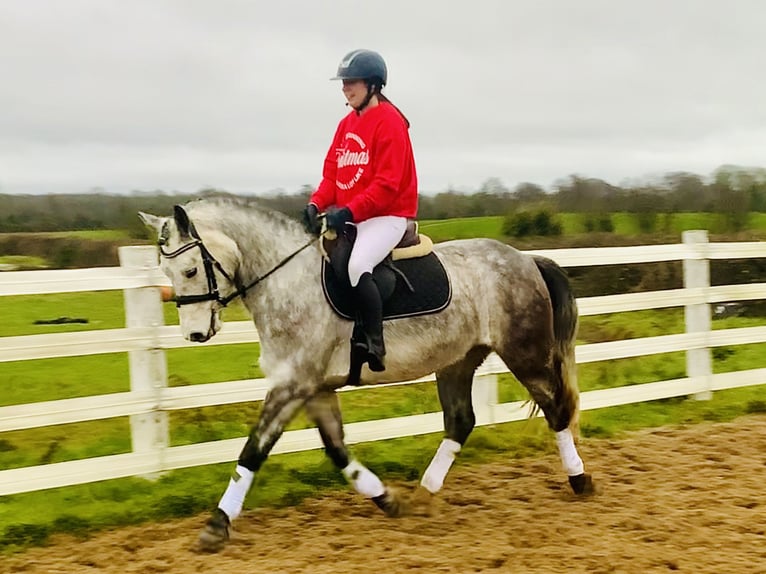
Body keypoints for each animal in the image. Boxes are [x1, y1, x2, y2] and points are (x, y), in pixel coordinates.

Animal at [140, 197, 592, 552]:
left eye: (191, 270)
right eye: (166, 272)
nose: (195, 334)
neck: (287, 282)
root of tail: (526, 259)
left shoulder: (292, 386)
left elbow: (253, 451)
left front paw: (216, 526)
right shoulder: (315, 388)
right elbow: (337, 450)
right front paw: (386, 499)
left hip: (525, 354)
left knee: (555, 411)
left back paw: (581, 481)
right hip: (458, 361)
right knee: (461, 421)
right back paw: (423, 495)